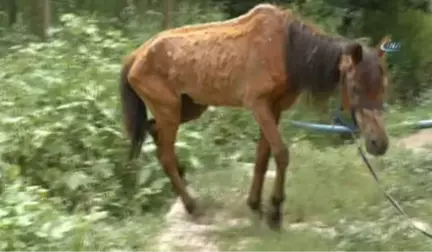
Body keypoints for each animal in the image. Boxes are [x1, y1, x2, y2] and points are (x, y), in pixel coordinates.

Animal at [119, 2, 392, 229]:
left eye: (383, 86)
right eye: (355, 87)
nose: (379, 144)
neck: (285, 49)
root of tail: (135, 56)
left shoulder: (274, 108)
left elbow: (262, 157)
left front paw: (255, 204)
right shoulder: (258, 105)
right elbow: (281, 153)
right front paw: (274, 212)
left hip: (187, 109)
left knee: (155, 133)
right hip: (170, 112)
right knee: (164, 154)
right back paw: (191, 205)